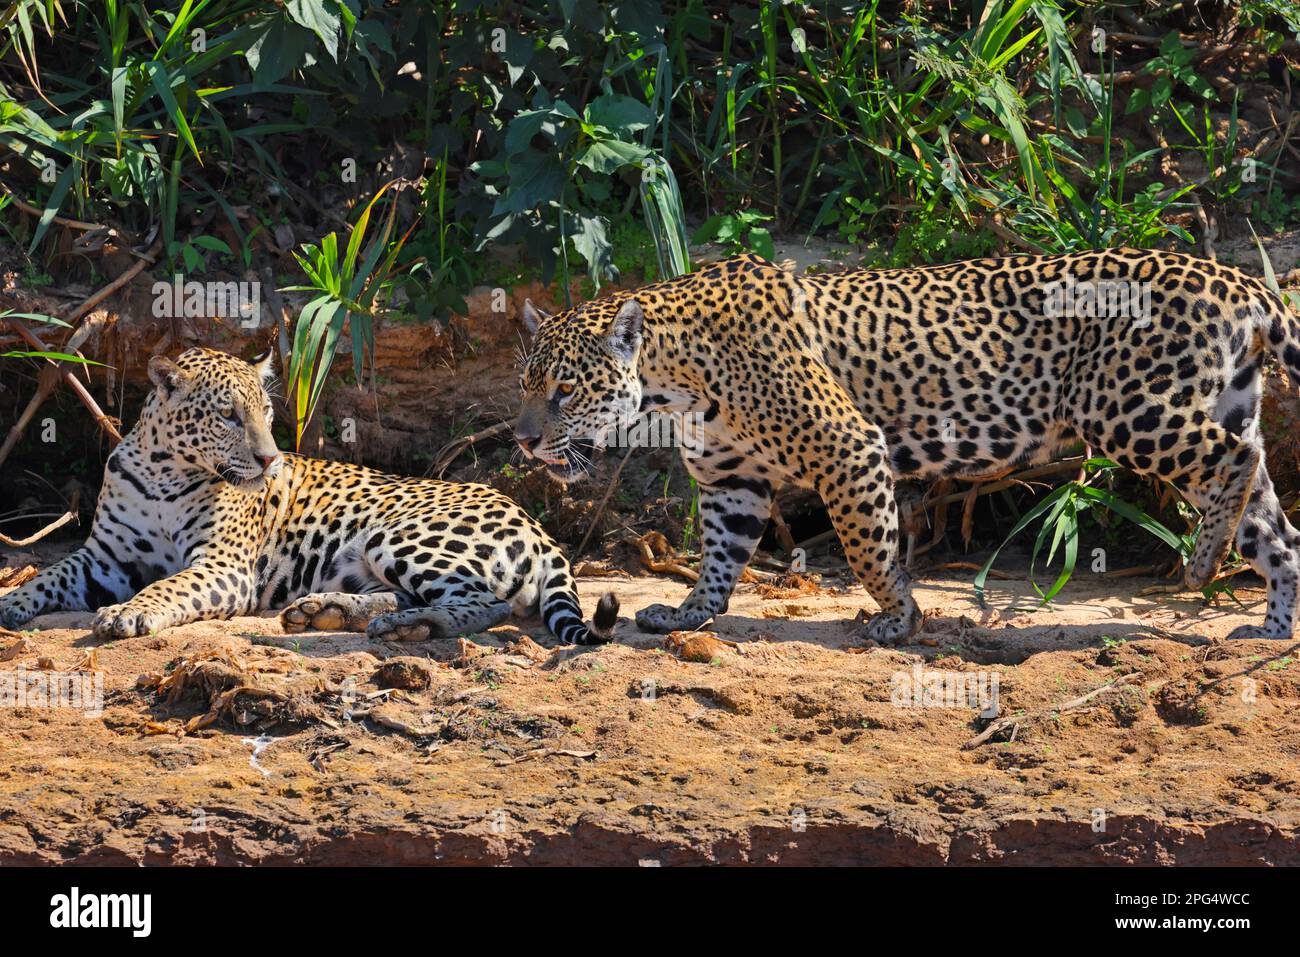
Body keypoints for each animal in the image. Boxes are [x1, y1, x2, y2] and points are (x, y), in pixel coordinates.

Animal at [0, 347, 617, 645]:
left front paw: (129, 614)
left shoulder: (223, 567)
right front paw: (11, 603)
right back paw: (327, 611)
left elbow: (168, 586)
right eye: (228, 416)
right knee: (410, 595)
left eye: (266, 414)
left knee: (487, 603)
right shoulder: (102, 558)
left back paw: (408, 628)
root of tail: (536, 525)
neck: (163, 474)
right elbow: (48, 575)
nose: (270, 459)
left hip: (400, 535)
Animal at [513, 249, 1300, 643]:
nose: (522, 440)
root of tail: (1238, 278)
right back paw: (1270, 629)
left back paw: (1203, 562)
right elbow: (718, 556)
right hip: (1213, 402)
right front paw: (686, 614)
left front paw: (898, 616)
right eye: (526, 385)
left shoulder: (847, 446)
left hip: (1129, 409)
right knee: (1276, 525)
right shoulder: (731, 480)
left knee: (1237, 462)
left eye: (564, 391)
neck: (671, 380)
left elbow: (867, 548)